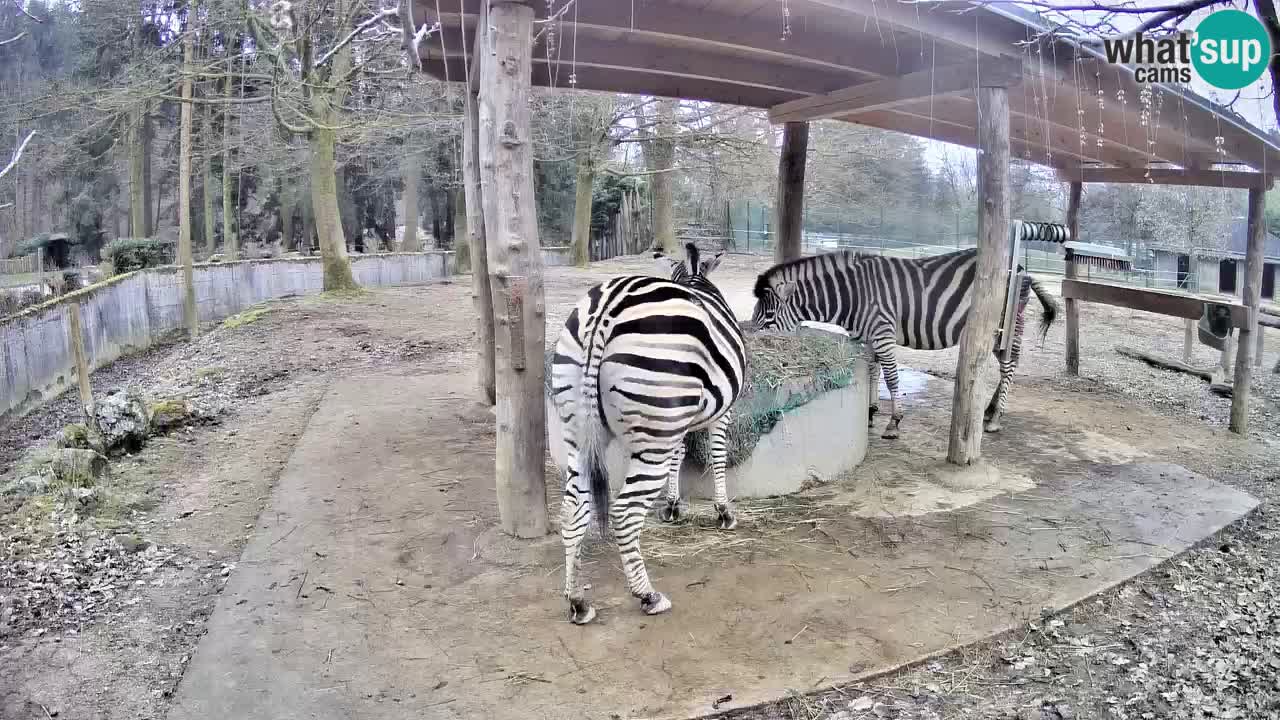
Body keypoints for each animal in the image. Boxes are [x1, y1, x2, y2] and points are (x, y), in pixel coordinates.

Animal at [545, 240, 747, 622]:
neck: (695, 279)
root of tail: (605, 311)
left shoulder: (680, 420)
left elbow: (680, 457)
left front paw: (673, 505)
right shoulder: (721, 412)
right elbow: (717, 456)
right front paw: (723, 512)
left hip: (578, 428)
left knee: (572, 508)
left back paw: (577, 600)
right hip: (653, 434)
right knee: (624, 513)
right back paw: (647, 595)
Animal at [747, 245, 1059, 438]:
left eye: (769, 316)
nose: (750, 352)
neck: (853, 294)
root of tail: (1021, 266)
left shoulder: (883, 332)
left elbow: (891, 376)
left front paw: (894, 422)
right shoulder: (866, 335)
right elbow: (871, 370)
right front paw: (870, 411)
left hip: (1004, 328)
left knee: (1009, 367)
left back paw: (995, 420)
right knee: (1009, 366)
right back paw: (990, 410)